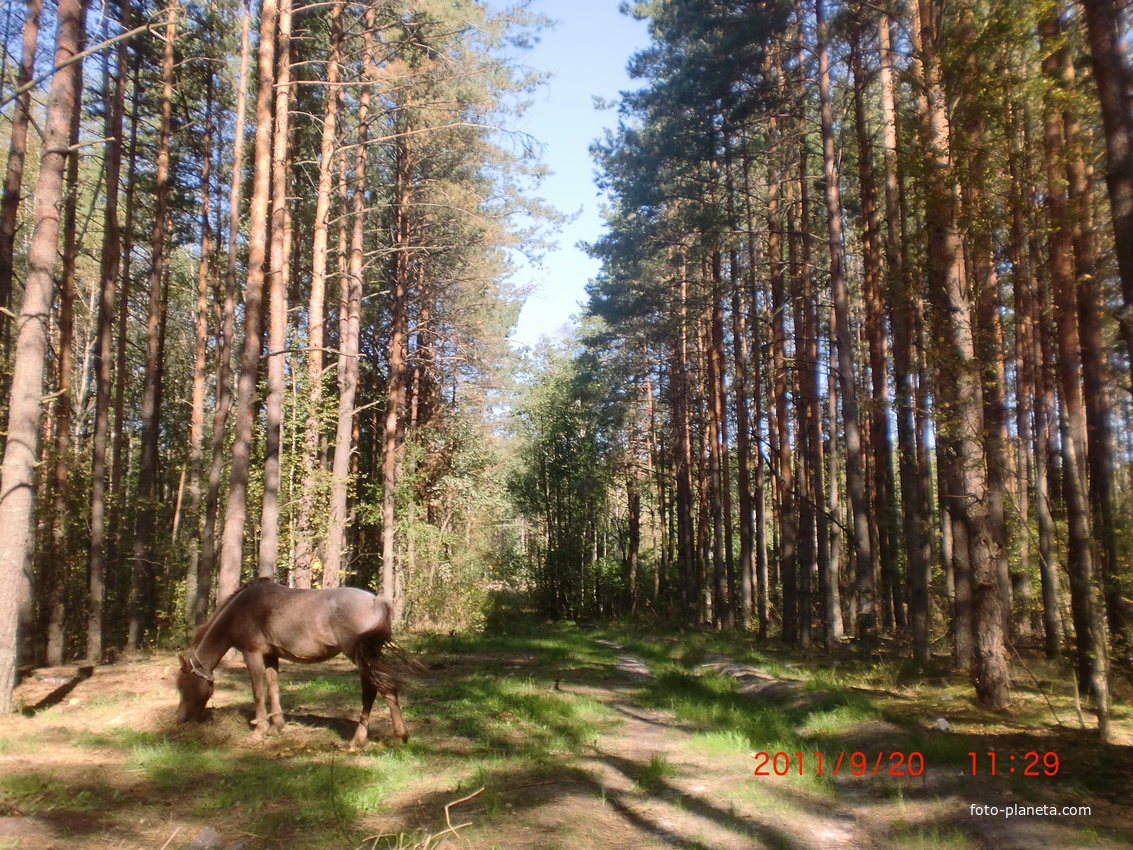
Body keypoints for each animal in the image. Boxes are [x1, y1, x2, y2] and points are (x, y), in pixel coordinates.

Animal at [174, 580, 410, 752]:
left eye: (182, 685)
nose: (180, 719)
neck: (241, 609)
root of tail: (377, 601)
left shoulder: (252, 653)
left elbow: (258, 692)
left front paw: (259, 731)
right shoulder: (271, 656)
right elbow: (273, 688)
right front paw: (276, 726)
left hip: (360, 657)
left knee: (377, 690)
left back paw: (387, 738)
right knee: (379, 691)